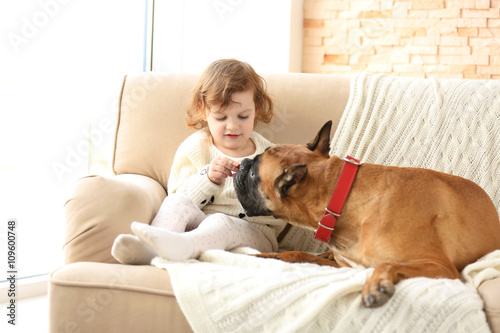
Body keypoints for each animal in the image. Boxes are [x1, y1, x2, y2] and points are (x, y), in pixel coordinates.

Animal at [234, 120, 500, 306]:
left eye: (253, 174)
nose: (242, 163)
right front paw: (268, 257)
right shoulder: (347, 266)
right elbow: (297, 254)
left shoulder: (441, 268)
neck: (340, 200)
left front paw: (377, 285)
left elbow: (385, 265)